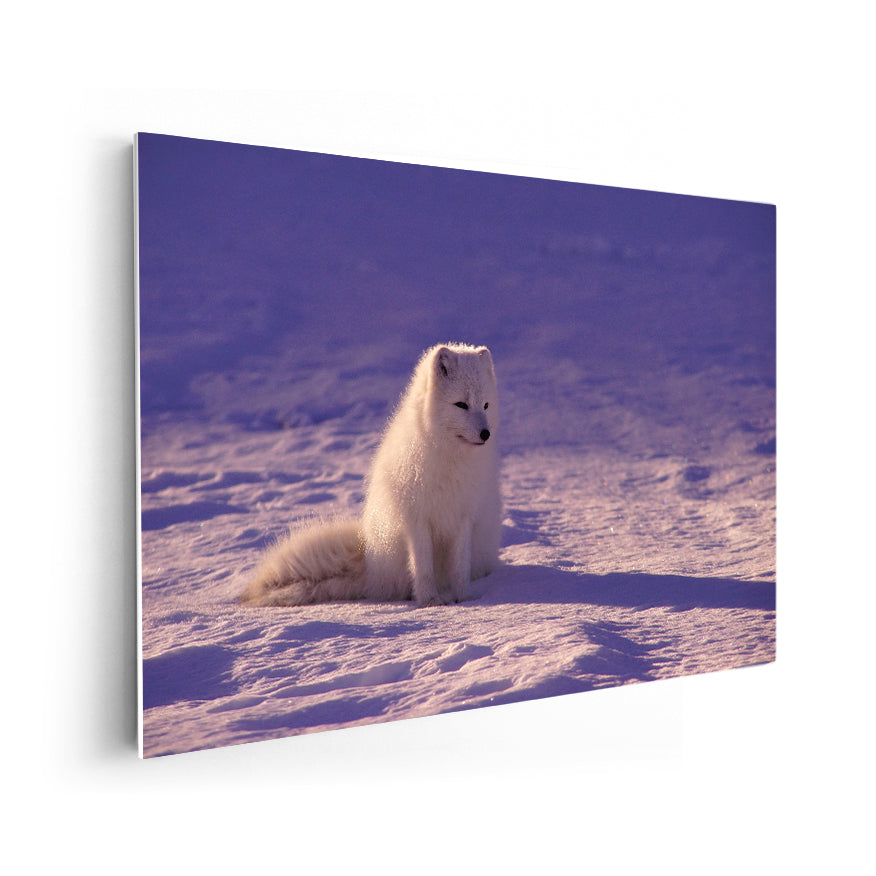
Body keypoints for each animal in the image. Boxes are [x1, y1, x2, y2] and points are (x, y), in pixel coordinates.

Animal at [241, 343, 502, 607]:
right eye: (461, 404)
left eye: (486, 405)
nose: (485, 434)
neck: (450, 458)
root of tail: (371, 564)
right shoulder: (416, 518)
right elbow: (422, 567)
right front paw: (429, 600)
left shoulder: (464, 517)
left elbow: (460, 566)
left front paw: (465, 598)